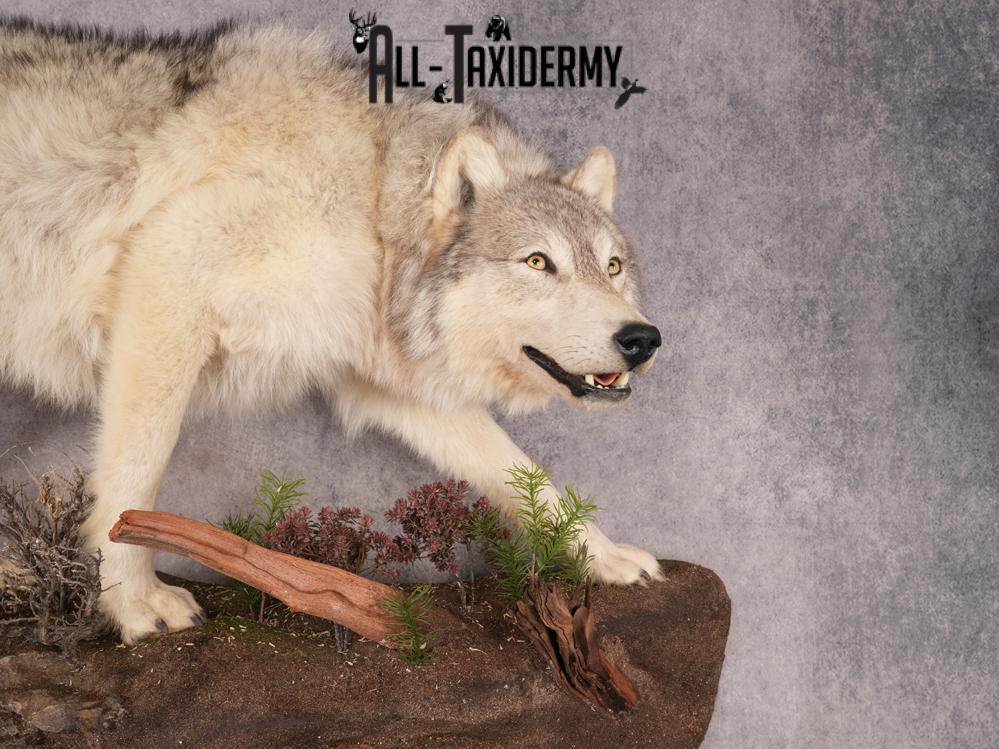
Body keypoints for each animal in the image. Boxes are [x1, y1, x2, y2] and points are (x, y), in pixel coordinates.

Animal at [0, 18, 664, 643]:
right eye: (538, 262)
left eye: (612, 267)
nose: (644, 340)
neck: (372, 215)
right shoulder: (166, 278)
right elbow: (136, 472)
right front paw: (133, 601)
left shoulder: (388, 384)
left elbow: (526, 475)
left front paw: (603, 557)